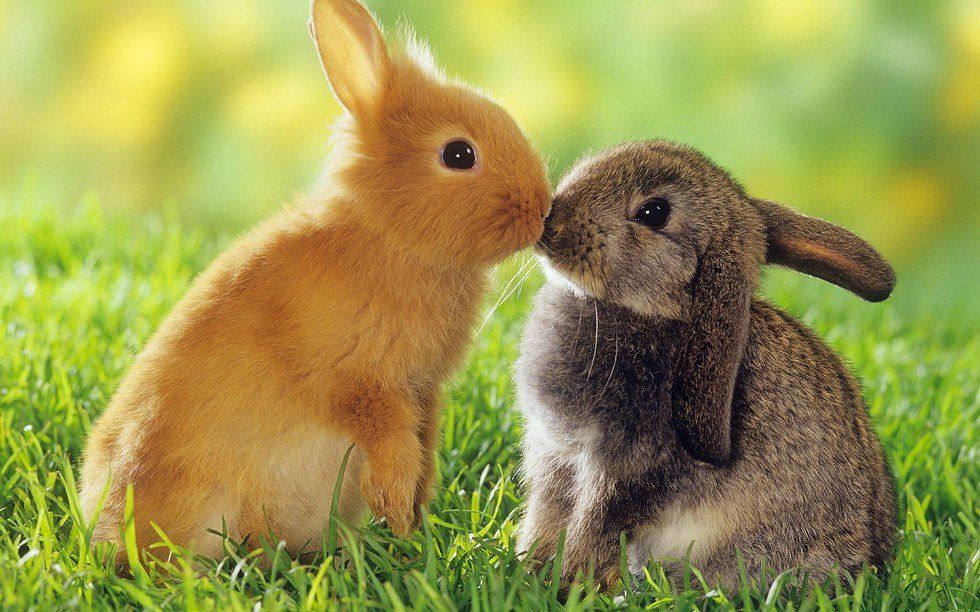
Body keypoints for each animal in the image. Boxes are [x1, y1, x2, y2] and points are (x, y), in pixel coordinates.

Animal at [79, 0, 551, 563]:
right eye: (458, 154)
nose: (542, 209)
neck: (389, 237)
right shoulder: (360, 383)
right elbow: (391, 444)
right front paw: (396, 513)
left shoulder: (423, 392)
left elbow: (424, 448)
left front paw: (413, 521)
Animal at [515, 140, 897, 590]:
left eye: (654, 213)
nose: (551, 224)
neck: (660, 311)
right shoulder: (555, 456)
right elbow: (546, 517)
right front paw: (527, 569)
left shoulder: (626, 467)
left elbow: (594, 526)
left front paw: (565, 583)